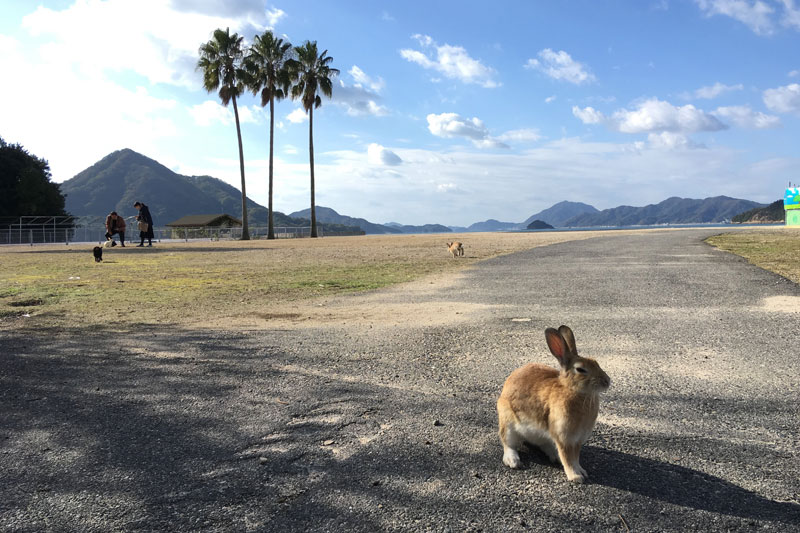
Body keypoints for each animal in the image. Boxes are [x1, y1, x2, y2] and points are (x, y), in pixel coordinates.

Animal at [494, 324, 612, 482]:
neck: (572, 390)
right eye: (581, 369)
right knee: (508, 443)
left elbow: (575, 458)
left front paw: (582, 471)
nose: (607, 381)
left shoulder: (577, 439)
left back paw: (554, 457)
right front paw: (576, 477)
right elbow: (568, 458)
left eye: (596, 362)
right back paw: (513, 461)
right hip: (507, 422)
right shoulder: (564, 437)